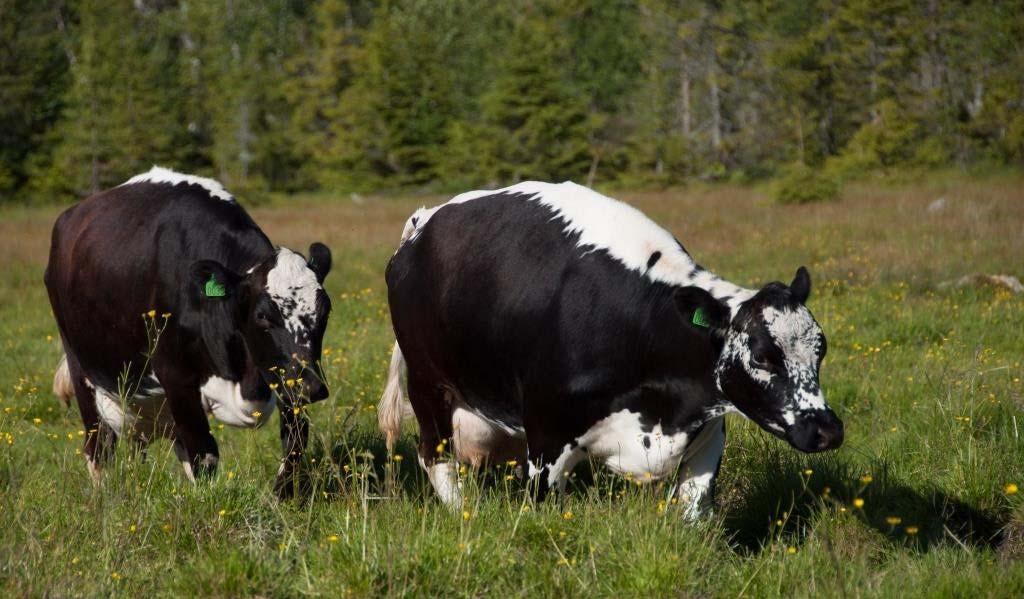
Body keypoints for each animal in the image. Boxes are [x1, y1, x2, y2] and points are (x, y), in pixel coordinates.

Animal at [46, 164, 333, 495]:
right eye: (262, 315)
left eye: (325, 310)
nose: (313, 386)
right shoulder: (176, 375)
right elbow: (204, 453)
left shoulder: (284, 374)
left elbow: (295, 444)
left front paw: (280, 498)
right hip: (81, 366)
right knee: (99, 446)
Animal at [380, 181, 843, 514]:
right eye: (763, 356)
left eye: (821, 350)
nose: (828, 430)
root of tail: (425, 221)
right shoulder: (547, 441)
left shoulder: (707, 434)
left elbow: (694, 515)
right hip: (429, 384)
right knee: (435, 457)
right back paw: (463, 515)